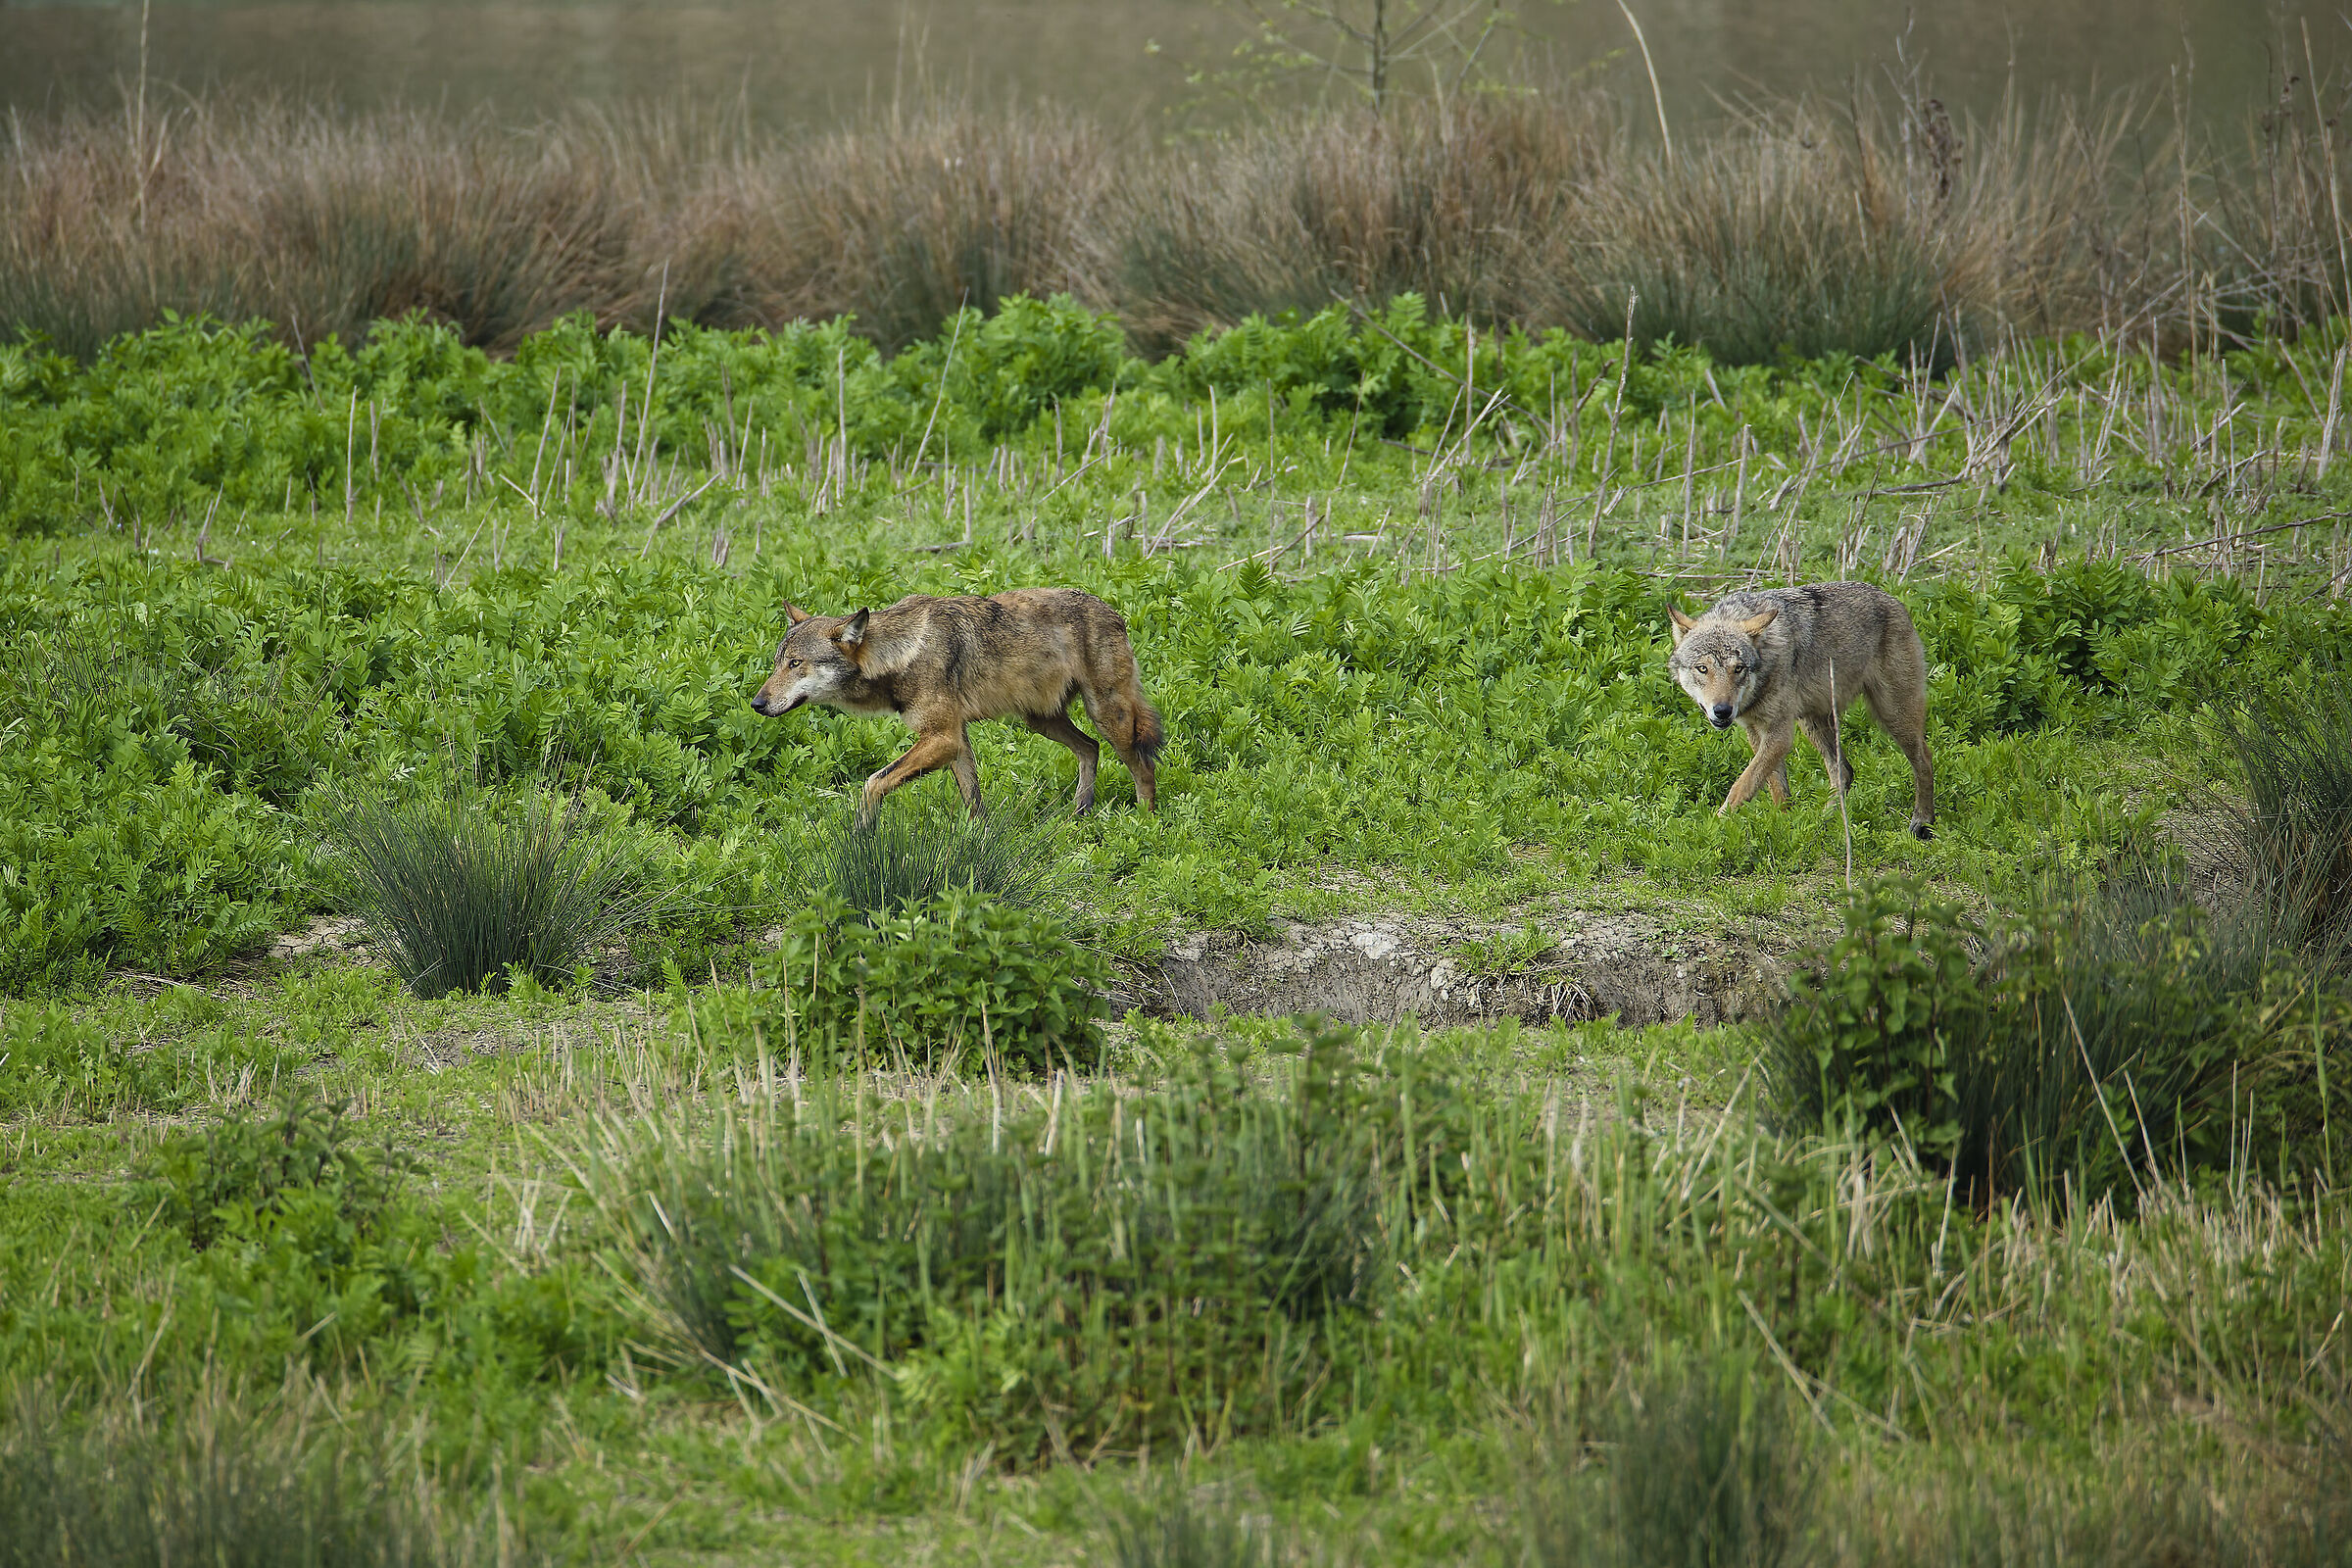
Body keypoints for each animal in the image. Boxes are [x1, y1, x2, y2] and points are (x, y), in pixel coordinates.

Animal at [749, 588, 1163, 826]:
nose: (757, 703)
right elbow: (973, 801)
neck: (901, 653)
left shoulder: (942, 737)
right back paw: (1080, 814)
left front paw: (865, 838)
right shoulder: (956, 740)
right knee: (1090, 749)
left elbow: (871, 783)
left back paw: (1144, 824)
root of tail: (1114, 612)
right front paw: (977, 842)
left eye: (796, 664)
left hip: (1108, 717)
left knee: (1143, 767)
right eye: (777, 663)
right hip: (1041, 721)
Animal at [1666, 581, 1935, 840]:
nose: (1722, 710)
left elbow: (1743, 785)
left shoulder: (1780, 735)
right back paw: (1823, 823)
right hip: (1812, 723)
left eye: (1738, 669)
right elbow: (1776, 787)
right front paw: (1784, 825)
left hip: (1893, 715)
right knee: (1844, 772)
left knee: (1925, 758)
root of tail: (1893, 599)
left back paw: (1923, 822)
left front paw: (1716, 824)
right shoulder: (1756, 730)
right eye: (1702, 669)